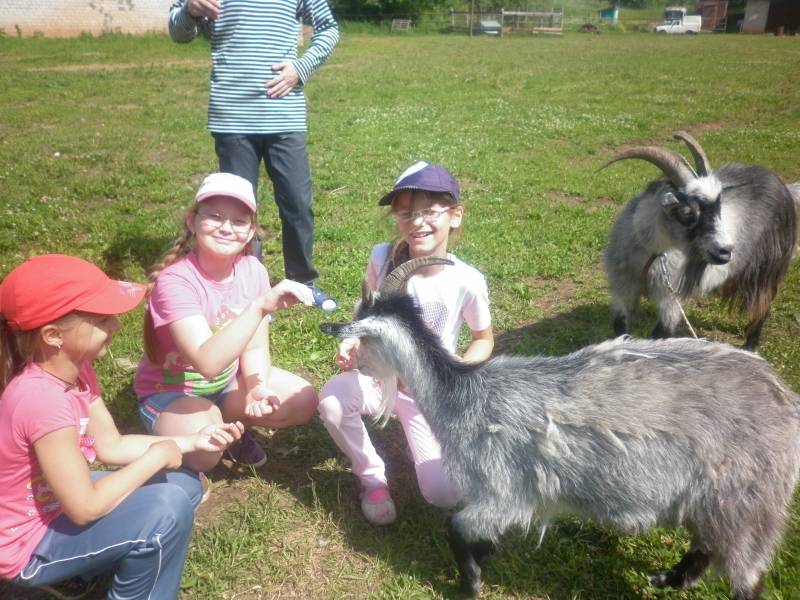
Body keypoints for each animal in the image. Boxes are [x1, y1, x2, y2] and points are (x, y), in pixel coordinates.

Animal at [320, 256, 800, 599]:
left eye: (362, 335)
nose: (350, 361)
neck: (462, 396)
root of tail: (782, 400)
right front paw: (486, 557)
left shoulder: (504, 491)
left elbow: (456, 529)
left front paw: (469, 584)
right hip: (712, 499)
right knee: (705, 547)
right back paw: (667, 580)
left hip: (747, 500)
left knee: (745, 574)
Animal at [603, 131, 797, 350]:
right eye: (687, 212)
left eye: (719, 208)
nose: (726, 251)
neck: (650, 256)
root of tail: (783, 187)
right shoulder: (623, 289)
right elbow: (620, 327)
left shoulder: (671, 299)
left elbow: (661, 334)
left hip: (766, 268)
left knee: (763, 305)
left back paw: (750, 346)